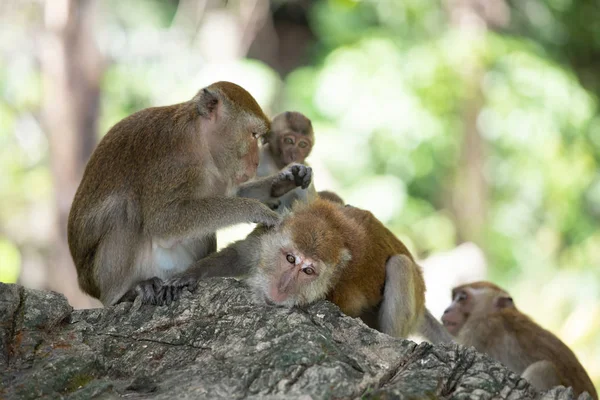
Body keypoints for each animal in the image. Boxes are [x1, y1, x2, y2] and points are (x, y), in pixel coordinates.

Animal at [69, 81, 312, 306]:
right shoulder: (174, 161)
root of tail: (85, 283)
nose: (256, 161)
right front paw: (257, 210)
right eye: (253, 135)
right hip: (101, 277)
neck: (198, 138)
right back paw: (126, 293)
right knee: (124, 210)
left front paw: (284, 180)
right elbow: (163, 221)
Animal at [155, 198, 454, 344]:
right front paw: (191, 274)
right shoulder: (267, 233)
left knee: (400, 266)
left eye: (308, 270)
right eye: (290, 258)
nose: (282, 287)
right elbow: (238, 255)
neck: (330, 223)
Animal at [440, 282, 596, 396]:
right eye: (454, 298)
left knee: (543, 369)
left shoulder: (479, 328)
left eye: (462, 298)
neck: (494, 313)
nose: (446, 310)